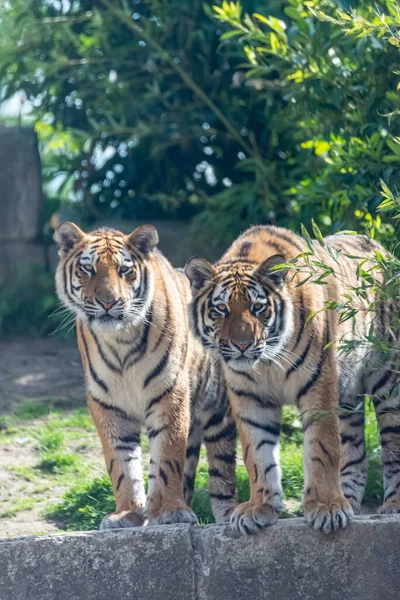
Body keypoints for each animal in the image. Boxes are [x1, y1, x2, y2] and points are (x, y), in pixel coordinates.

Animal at [52, 223, 238, 528]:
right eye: (88, 269)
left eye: (124, 270)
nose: (108, 302)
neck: (120, 339)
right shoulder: (107, 404)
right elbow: (121, 464)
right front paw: (126, 514)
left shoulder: (169, 393)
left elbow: (166, 457)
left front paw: (168, 512)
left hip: (220, 411)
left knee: (222, 470)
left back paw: (227, 516)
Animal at [185, 225, 400, 536]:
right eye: (221, 309)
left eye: (258, 307)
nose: (242, 345)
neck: (267, 362)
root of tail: (382, 250)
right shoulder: (250, 397)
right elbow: (257, 454)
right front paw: (259, 508)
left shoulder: (318, 384)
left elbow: (322, 447)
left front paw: (326, 508)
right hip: (349, 395)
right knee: (356, 454)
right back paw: (349, 501)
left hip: (388, 381)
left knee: (393, 447)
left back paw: (391, 506)